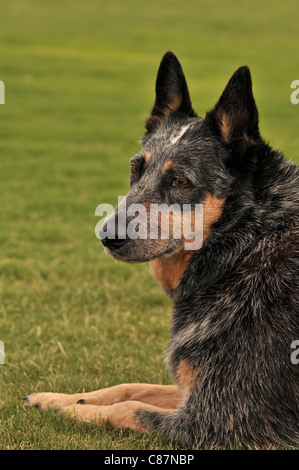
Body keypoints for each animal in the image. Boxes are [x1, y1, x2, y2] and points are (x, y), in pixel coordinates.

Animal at [24, 50, 299, 448]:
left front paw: (67, 411)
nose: (106, 235)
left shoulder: (221, 421)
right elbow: (128, 388)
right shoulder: (192, 394)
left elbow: (128, 408)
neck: (244, 244)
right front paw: (56, 399)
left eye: (180, 181)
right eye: (136, 169)